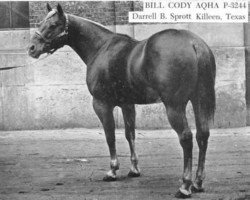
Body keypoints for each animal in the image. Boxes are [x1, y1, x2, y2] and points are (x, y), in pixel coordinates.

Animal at [29, 3, 216, 198]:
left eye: (53, 25)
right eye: (42, 22)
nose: (32, 48)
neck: (101, 48)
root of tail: (193, 43)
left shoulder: (102, 104)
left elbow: (110, 136)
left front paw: (112, 170)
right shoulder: (127, 104)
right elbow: (130, 134)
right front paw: (134, 169)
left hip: (174, 106)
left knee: (186, 137)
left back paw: (185, 186)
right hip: (198, 100)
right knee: (202, 134)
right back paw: (198, 182)